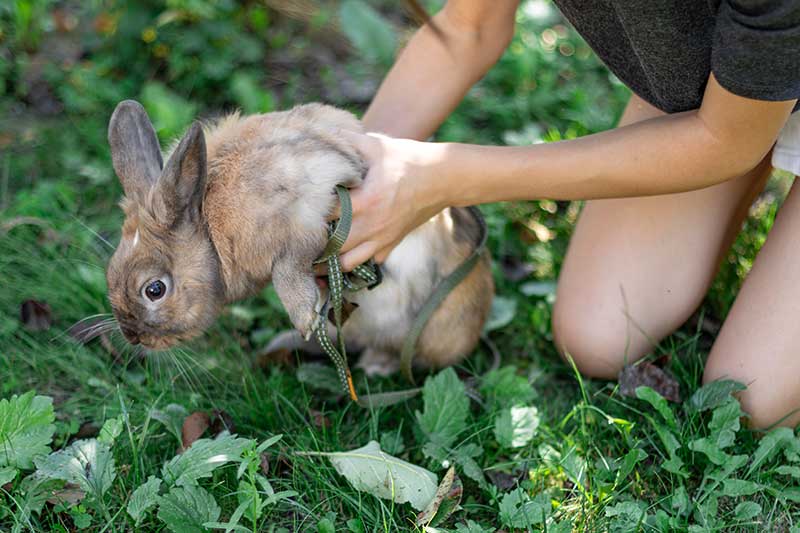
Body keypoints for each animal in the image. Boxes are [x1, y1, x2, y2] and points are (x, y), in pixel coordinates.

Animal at [104, 100, 494, 374]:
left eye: (155, 290)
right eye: (110, 272)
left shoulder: (309, 210)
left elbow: (289, 264)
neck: (210, 225)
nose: (132, 336)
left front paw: (303, 315)